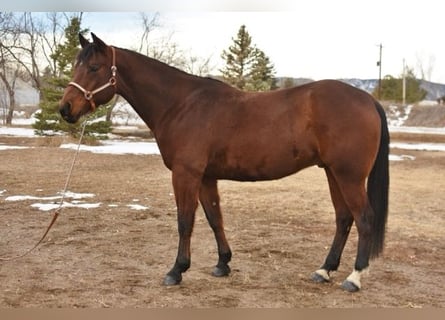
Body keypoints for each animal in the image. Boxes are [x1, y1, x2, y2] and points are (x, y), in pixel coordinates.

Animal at [59, 33, 388, 292]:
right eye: (76, 65)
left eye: (94, 67)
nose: (65, 108)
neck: (181, 104)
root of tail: (368, 100)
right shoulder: (206, 177)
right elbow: (214, 218)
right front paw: (223, 264)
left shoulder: (186, 175)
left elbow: (185, 221)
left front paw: (176, 271)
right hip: (333, 173)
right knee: (344, 219)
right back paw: (324, 270)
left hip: (349, 176)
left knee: (364, 218)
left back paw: (354, 278)